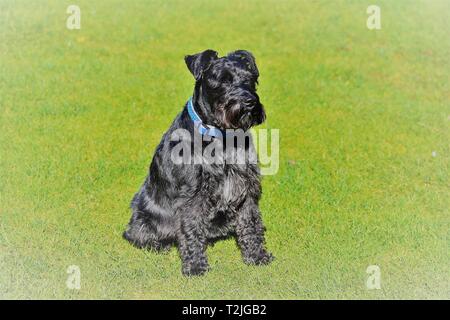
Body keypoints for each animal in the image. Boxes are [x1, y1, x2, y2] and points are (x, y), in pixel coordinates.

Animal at [121, 49, 272, 276]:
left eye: (251, 79)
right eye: (223, 80)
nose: (250, 102)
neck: (221, 136)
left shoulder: (246, 187)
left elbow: (251, 222)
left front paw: (257, 256)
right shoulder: (192, 195)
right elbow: (191, 228)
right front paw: (195, 266)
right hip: (144, 216)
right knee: (136, 234)